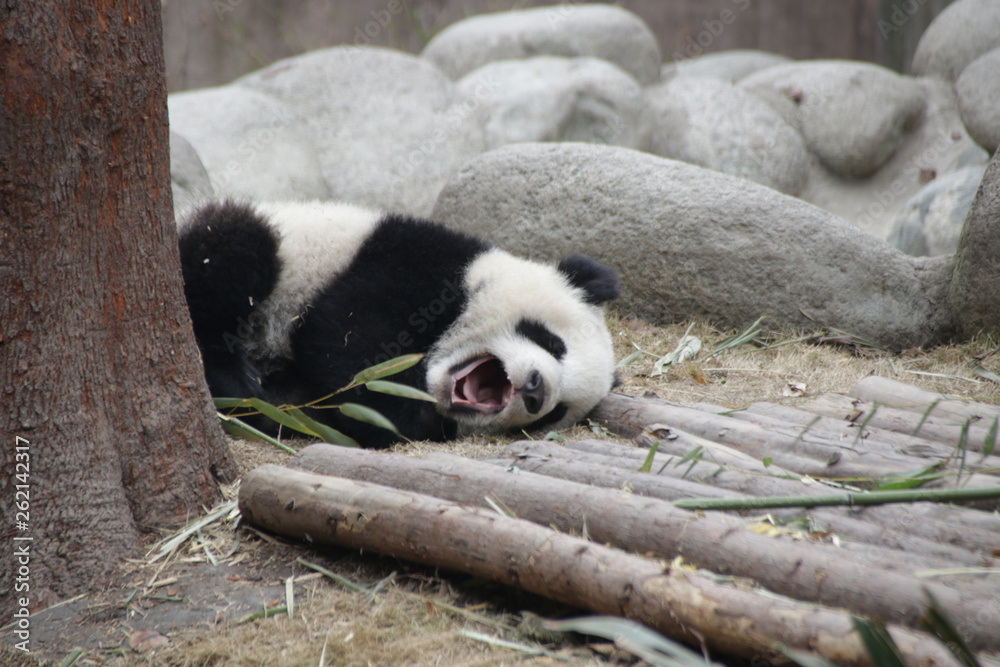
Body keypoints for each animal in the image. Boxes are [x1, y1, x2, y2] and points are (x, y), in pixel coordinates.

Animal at [178, 200, 619, 448]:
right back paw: (231, 374)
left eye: (553, 414)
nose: (535, 390)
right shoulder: (414, 264)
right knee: (231, 246)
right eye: (553, 342)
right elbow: (346, 336)